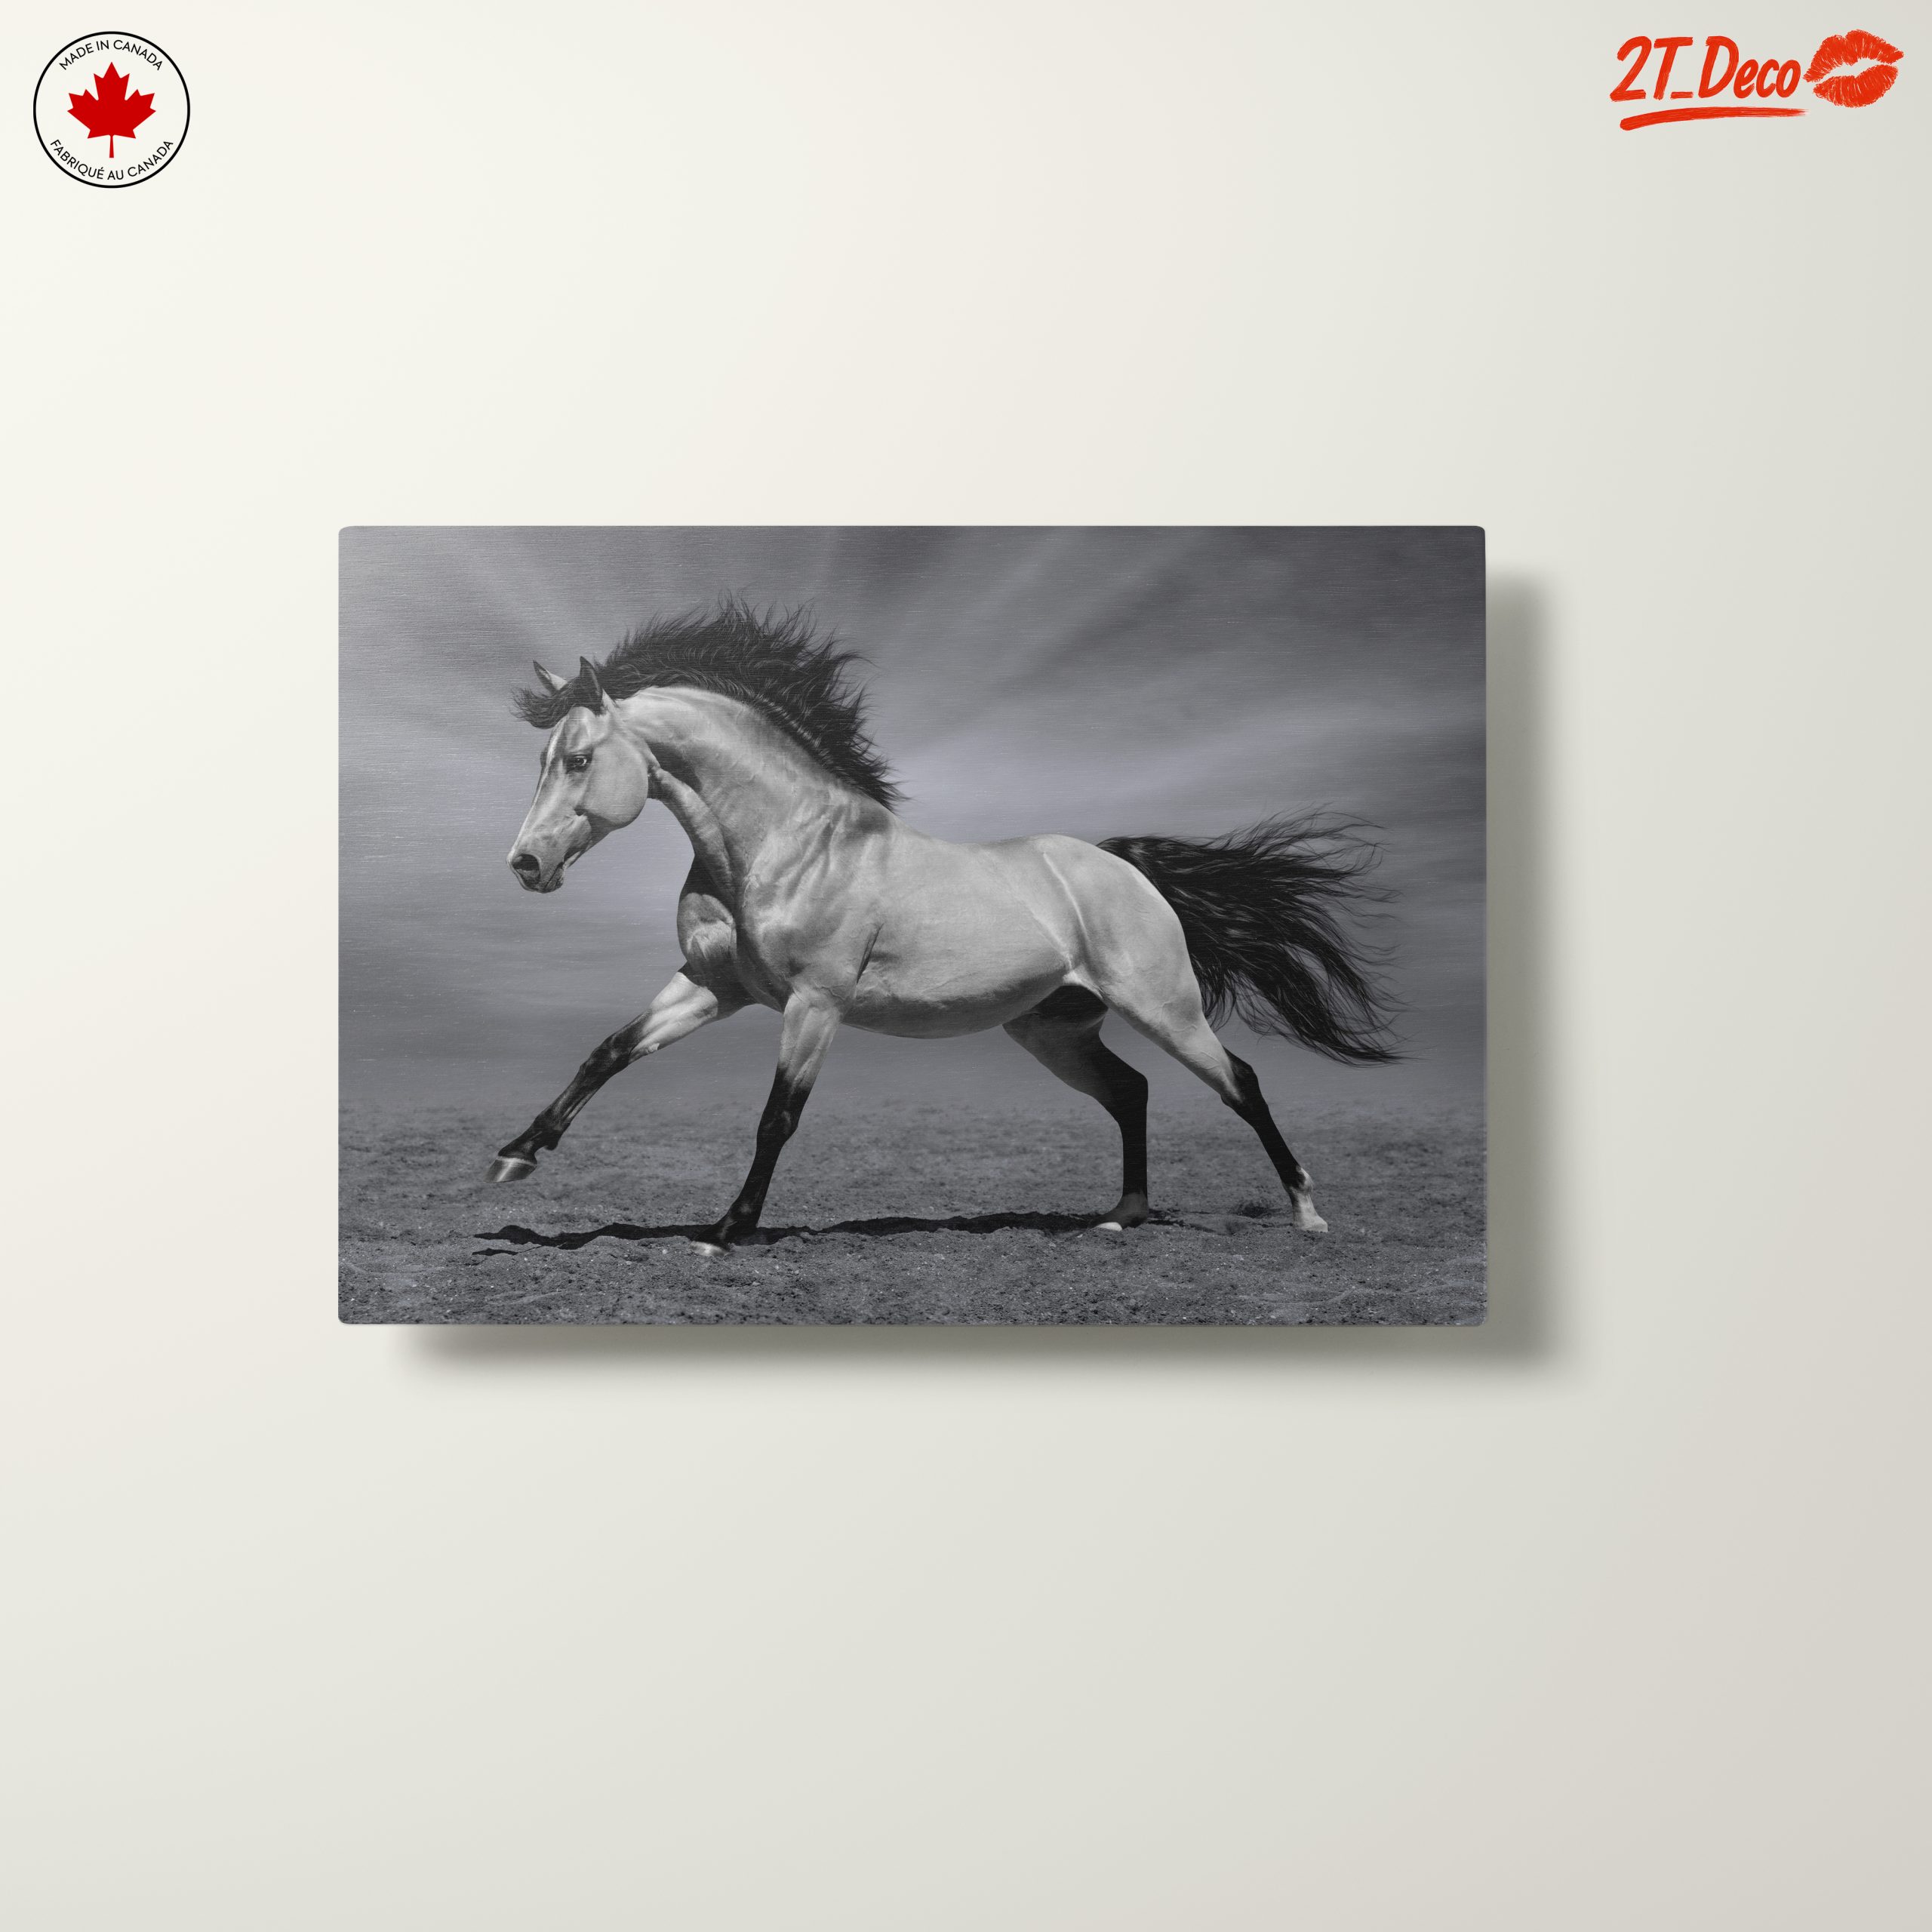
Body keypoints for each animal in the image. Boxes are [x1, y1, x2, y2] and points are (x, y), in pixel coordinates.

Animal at [489, 599, 1396, 1254]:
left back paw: (1307, 1215)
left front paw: (726, 1231)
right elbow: (609, 1051)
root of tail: (1123, 867)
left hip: (1162, 1007)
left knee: (1240, 1081)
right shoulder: (715, 986)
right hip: (1054, 1029)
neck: (786, 845)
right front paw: (516, 1155)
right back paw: (1121, 1215)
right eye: (544, 760)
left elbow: (777, 1116)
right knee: (1131, 1091)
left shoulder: (813, 1004)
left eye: (577, 760)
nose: (526, 864)